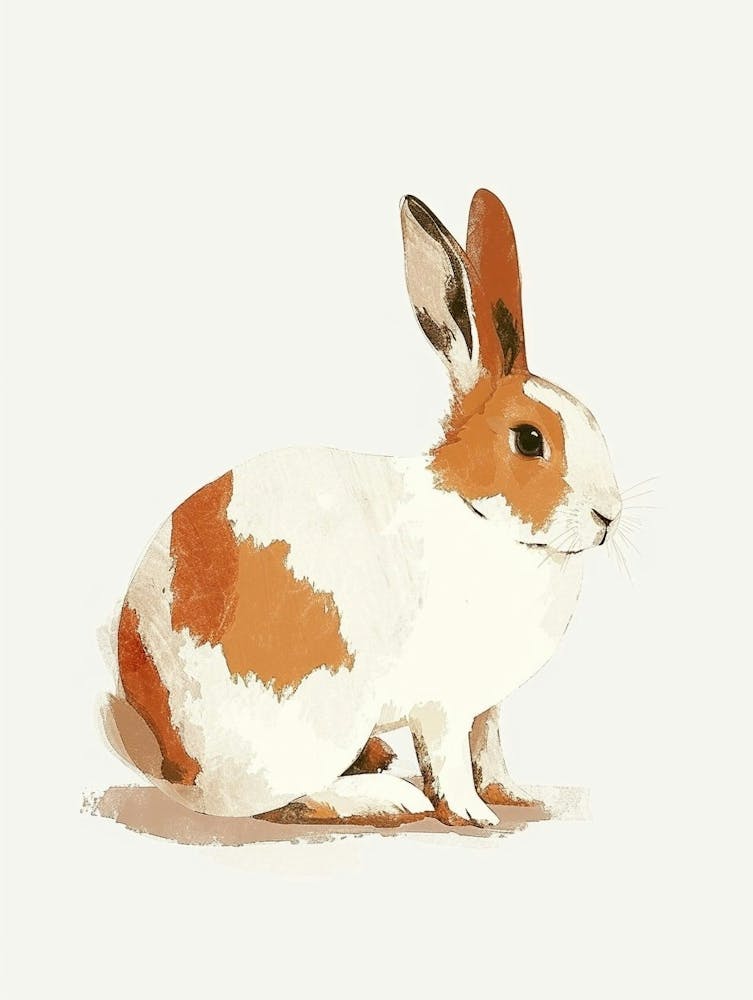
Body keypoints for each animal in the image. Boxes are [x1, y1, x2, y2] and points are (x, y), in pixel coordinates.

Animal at [105, 188, 621, 828]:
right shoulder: (443, 704)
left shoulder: (487, 705)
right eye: (529, 440)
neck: (481, 519)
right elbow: (450, 758)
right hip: (315, 719)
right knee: (284, 799)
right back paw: (390, 795)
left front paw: (515, 794)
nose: (609, 515)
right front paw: (473, 814)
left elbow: (490, 745)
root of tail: (169, 754)